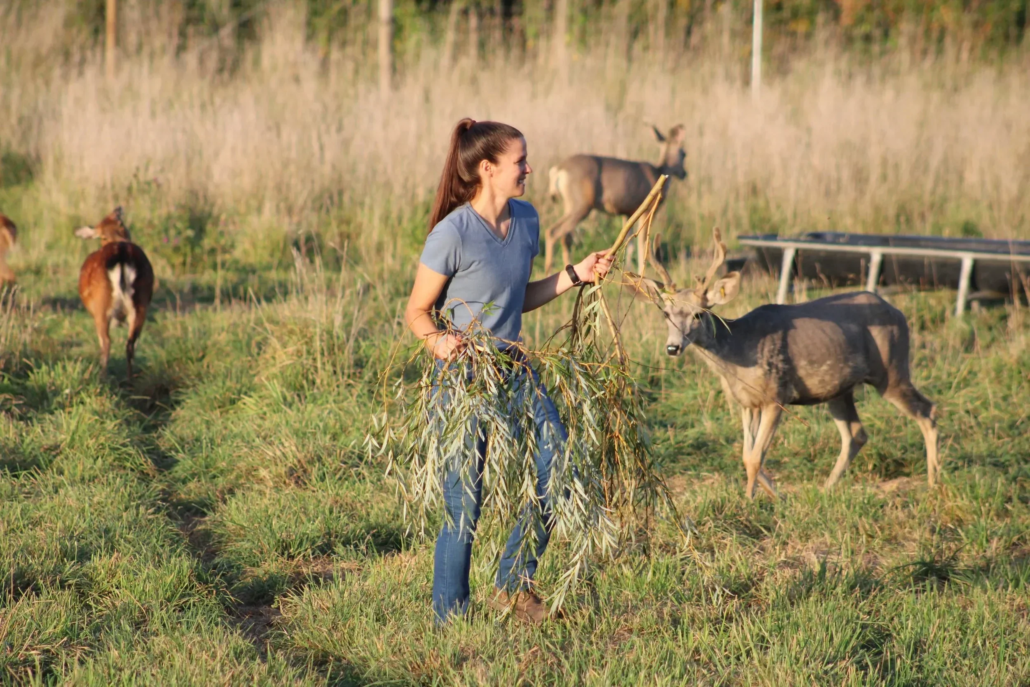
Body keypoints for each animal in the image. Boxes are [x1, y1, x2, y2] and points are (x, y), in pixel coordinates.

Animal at [75, 207, 154, 380]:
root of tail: (121, 252)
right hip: (141, 301)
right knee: (130, 343)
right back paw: (130, 380)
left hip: (101, 305)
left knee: (106, 342)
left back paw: (103, 378)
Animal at [544, 124, 688, 275]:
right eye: (684, 153)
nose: (684, 173)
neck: (659, 171)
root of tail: (558, 169)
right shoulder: (648, 209)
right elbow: (642, 243)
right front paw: (641, 271)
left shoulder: (628, 213)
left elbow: (629, 243)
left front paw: (628, 270)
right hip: (581, 204)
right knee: (554, 232)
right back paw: (550, 269)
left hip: (571, 205)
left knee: (564, 236)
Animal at [624, 228, 940, 500]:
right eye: (665, 313)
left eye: (699, 314)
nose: (673, 347)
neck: (739, 353)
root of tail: (897, 312)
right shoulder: (747, 402)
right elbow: (747, 456)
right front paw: (777, 496)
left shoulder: (776, 395)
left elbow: (754, 457)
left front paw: (750, 502)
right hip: (839, 390)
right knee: (856, 434)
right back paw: (827, 489)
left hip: (891, 369)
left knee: (927, 410)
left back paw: (932, 482)